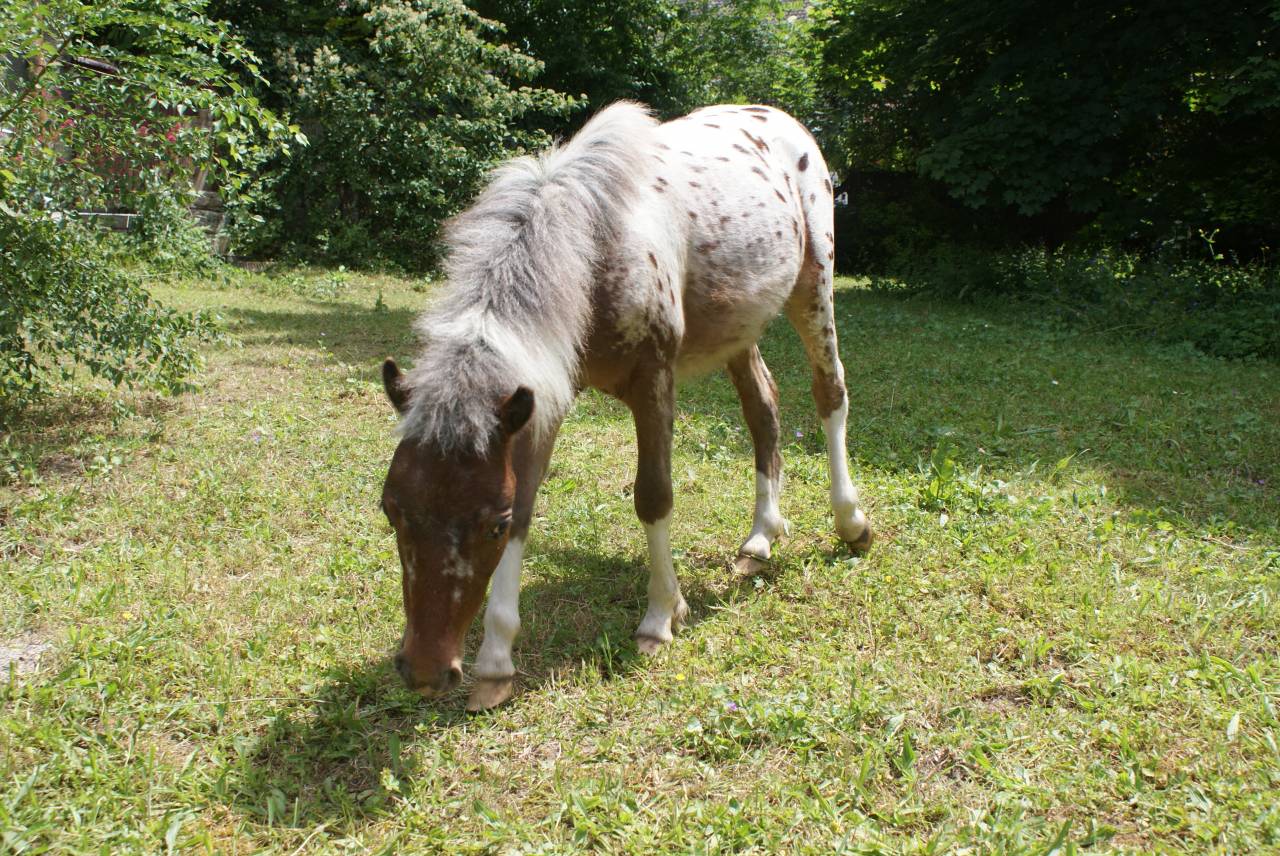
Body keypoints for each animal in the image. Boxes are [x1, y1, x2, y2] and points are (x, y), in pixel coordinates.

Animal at [379, 102, 872, 710]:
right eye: (391, 509)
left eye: (490, 526)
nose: (425, 670)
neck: (595, 244)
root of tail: (783, 120)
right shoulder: (540, 399)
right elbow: (529, 503)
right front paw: (495, 663)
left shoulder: (653, 380)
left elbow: (653, 496)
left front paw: (661, 616)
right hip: (740, 324)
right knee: (763, 408)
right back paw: (761, 536)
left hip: (813, 284)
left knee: (830, 393)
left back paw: (851, 523)